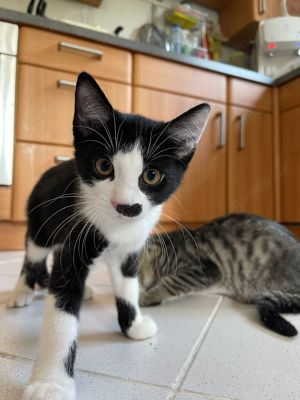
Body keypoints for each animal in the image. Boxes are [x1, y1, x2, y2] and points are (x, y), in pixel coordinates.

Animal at [6, 72, 209, 400]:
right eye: (104, 166)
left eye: (152, 175)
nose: (126, 206)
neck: (115, 228)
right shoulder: (76, 238)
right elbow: (61, 315)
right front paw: (51, 383)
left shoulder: (130, 249)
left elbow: (127, 286)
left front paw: (133, 324)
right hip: (40, 220)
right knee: (33, 254)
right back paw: (22, 290)